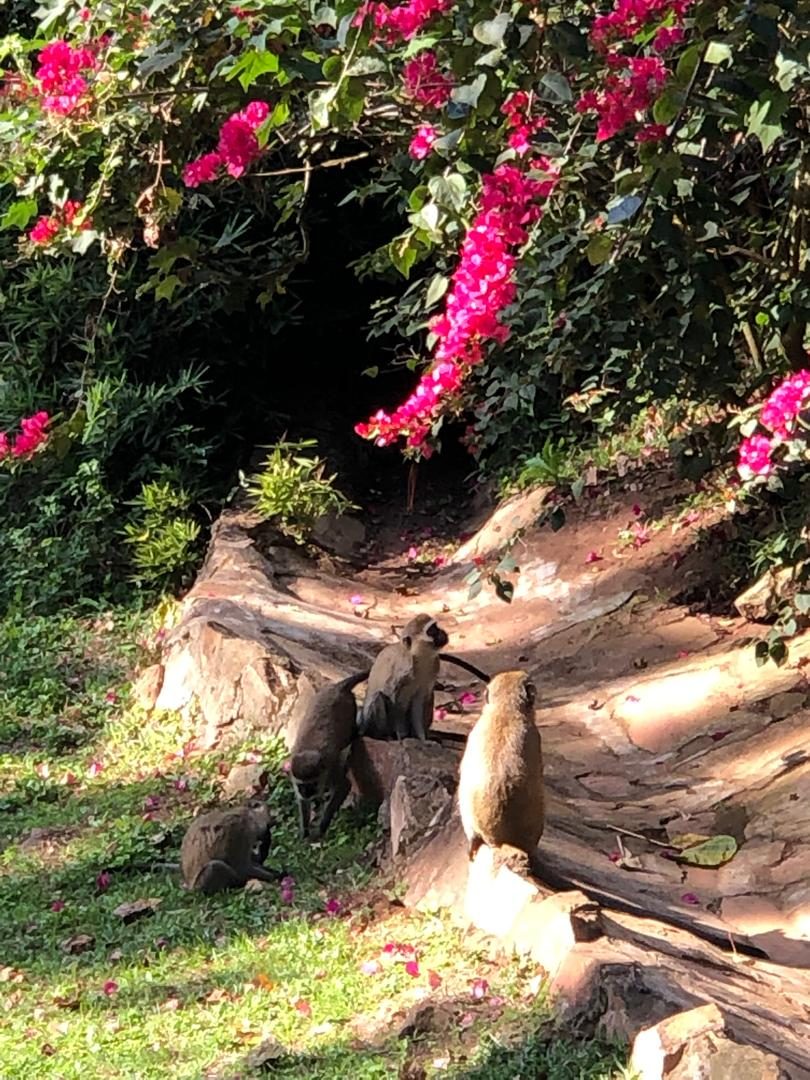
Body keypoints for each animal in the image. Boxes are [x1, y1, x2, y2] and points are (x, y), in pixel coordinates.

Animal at [289, 670, 369, 840]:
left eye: (312, 784)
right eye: (302, 786)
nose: (307, 794)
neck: (309, 750)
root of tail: (337, 687)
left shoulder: (331, 772)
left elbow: (344, 786)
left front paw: (322, 826)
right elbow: (302, 803)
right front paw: (305, 830)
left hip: (349, 708)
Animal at [358, 613, 449, 741]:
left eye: (436, 627)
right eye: (431, 631)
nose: (442, 631)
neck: (421, 657)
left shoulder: (434, 666)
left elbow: (419, 702)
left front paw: (421, 738)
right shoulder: (402, 670)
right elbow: (392, 699)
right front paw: (402, 736)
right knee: (378, 697)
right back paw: (383, 735)